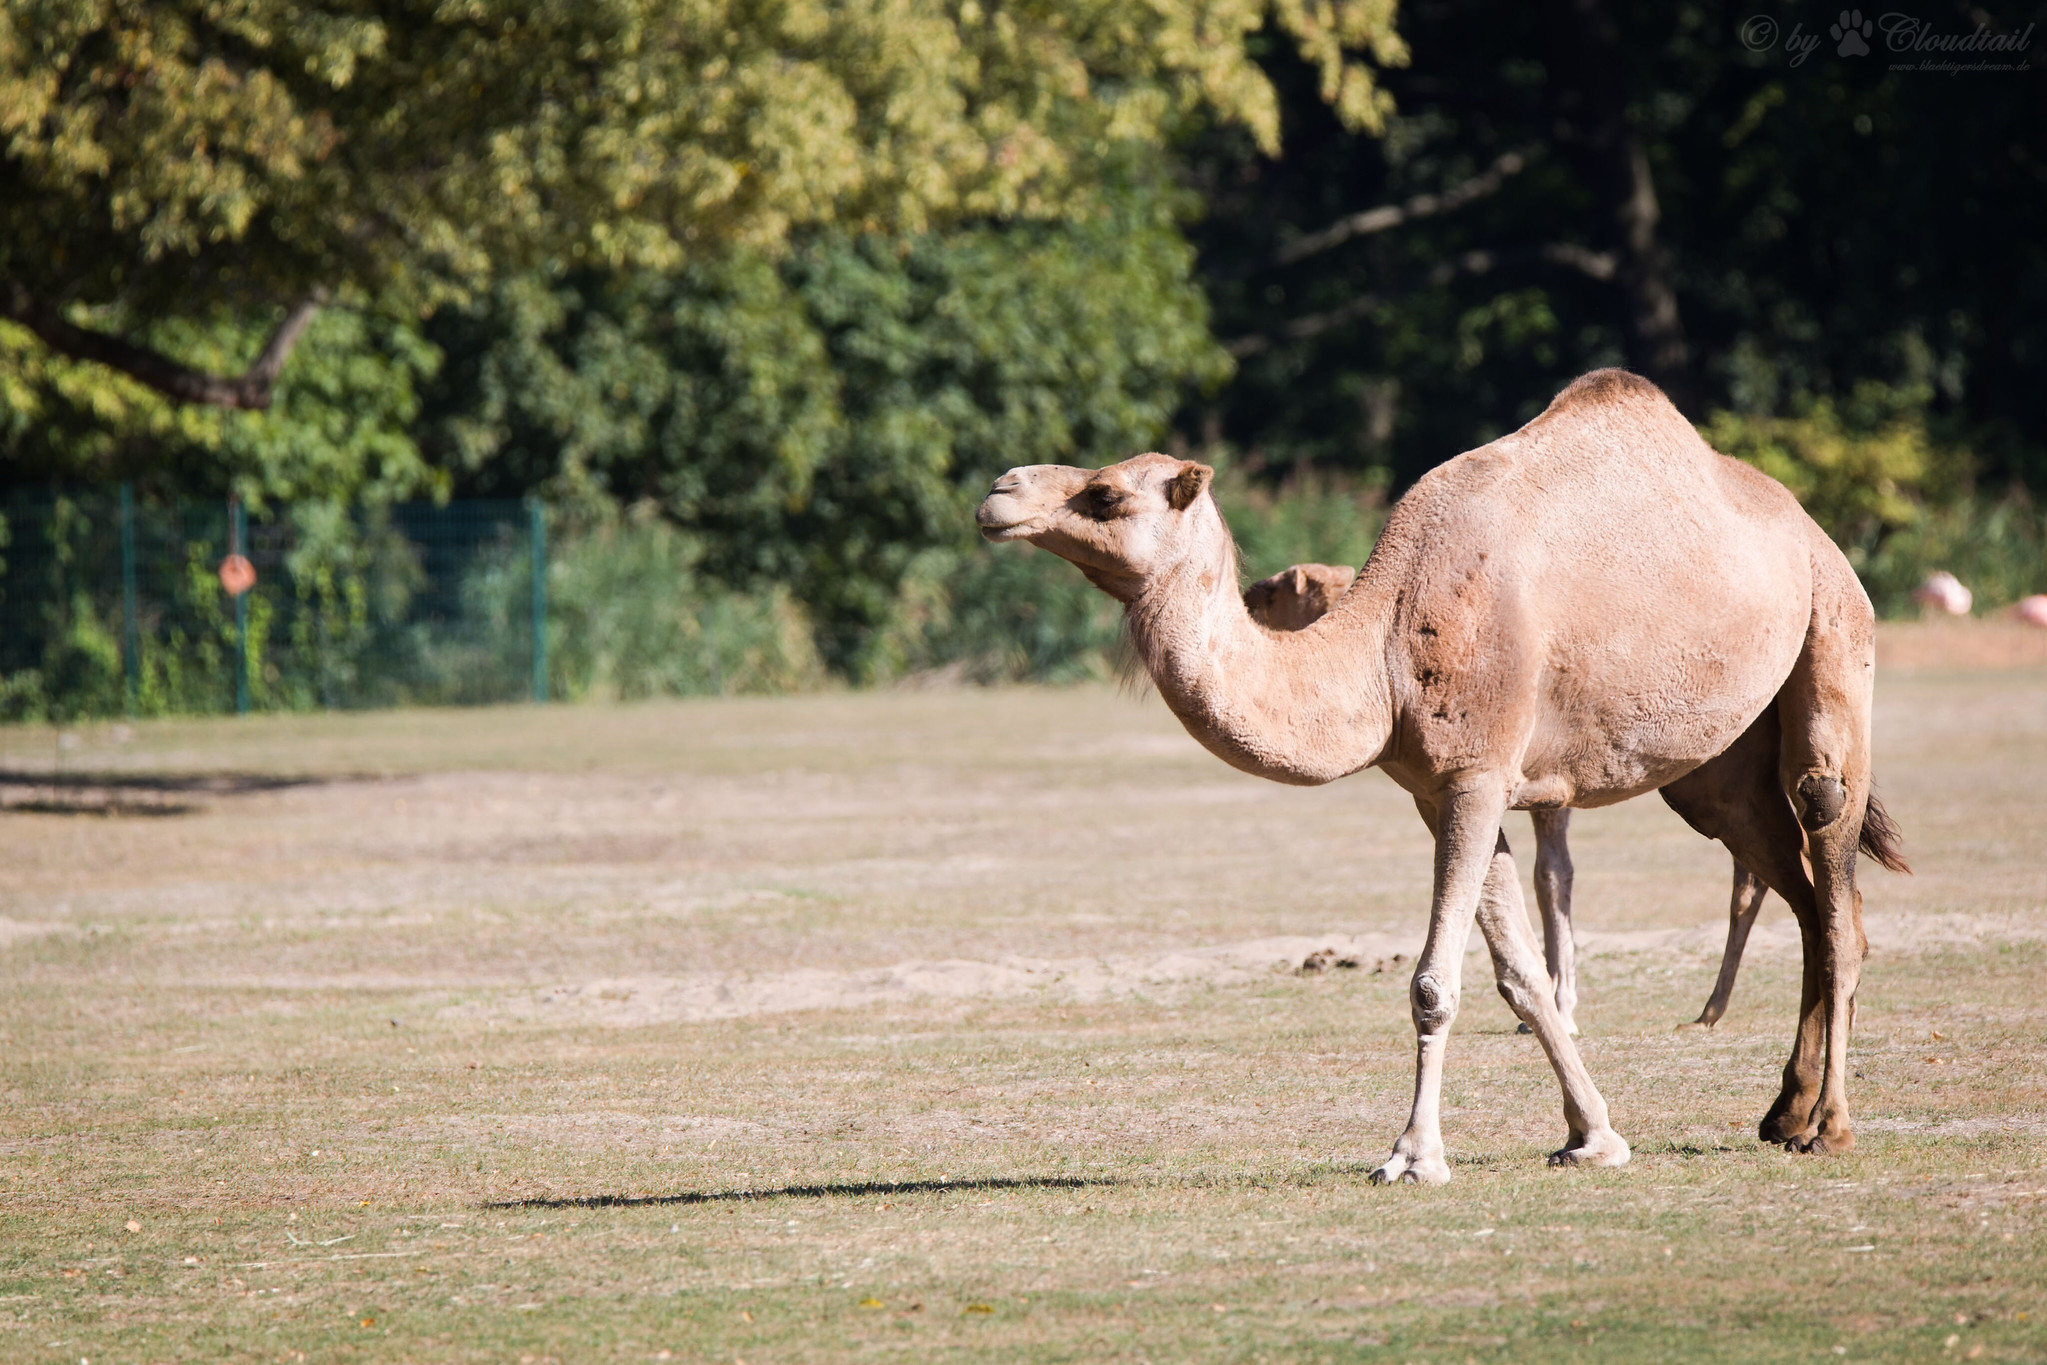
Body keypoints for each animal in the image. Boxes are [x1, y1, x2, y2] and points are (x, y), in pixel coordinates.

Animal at [1236, 560, 1784, 1031]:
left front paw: (1560, 1008)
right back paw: (1713, 1007)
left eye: (1274, 589)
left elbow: (1552, 876)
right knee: (1752, 874)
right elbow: (1545, 874)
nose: (1248, 594)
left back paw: (1714, 1009)